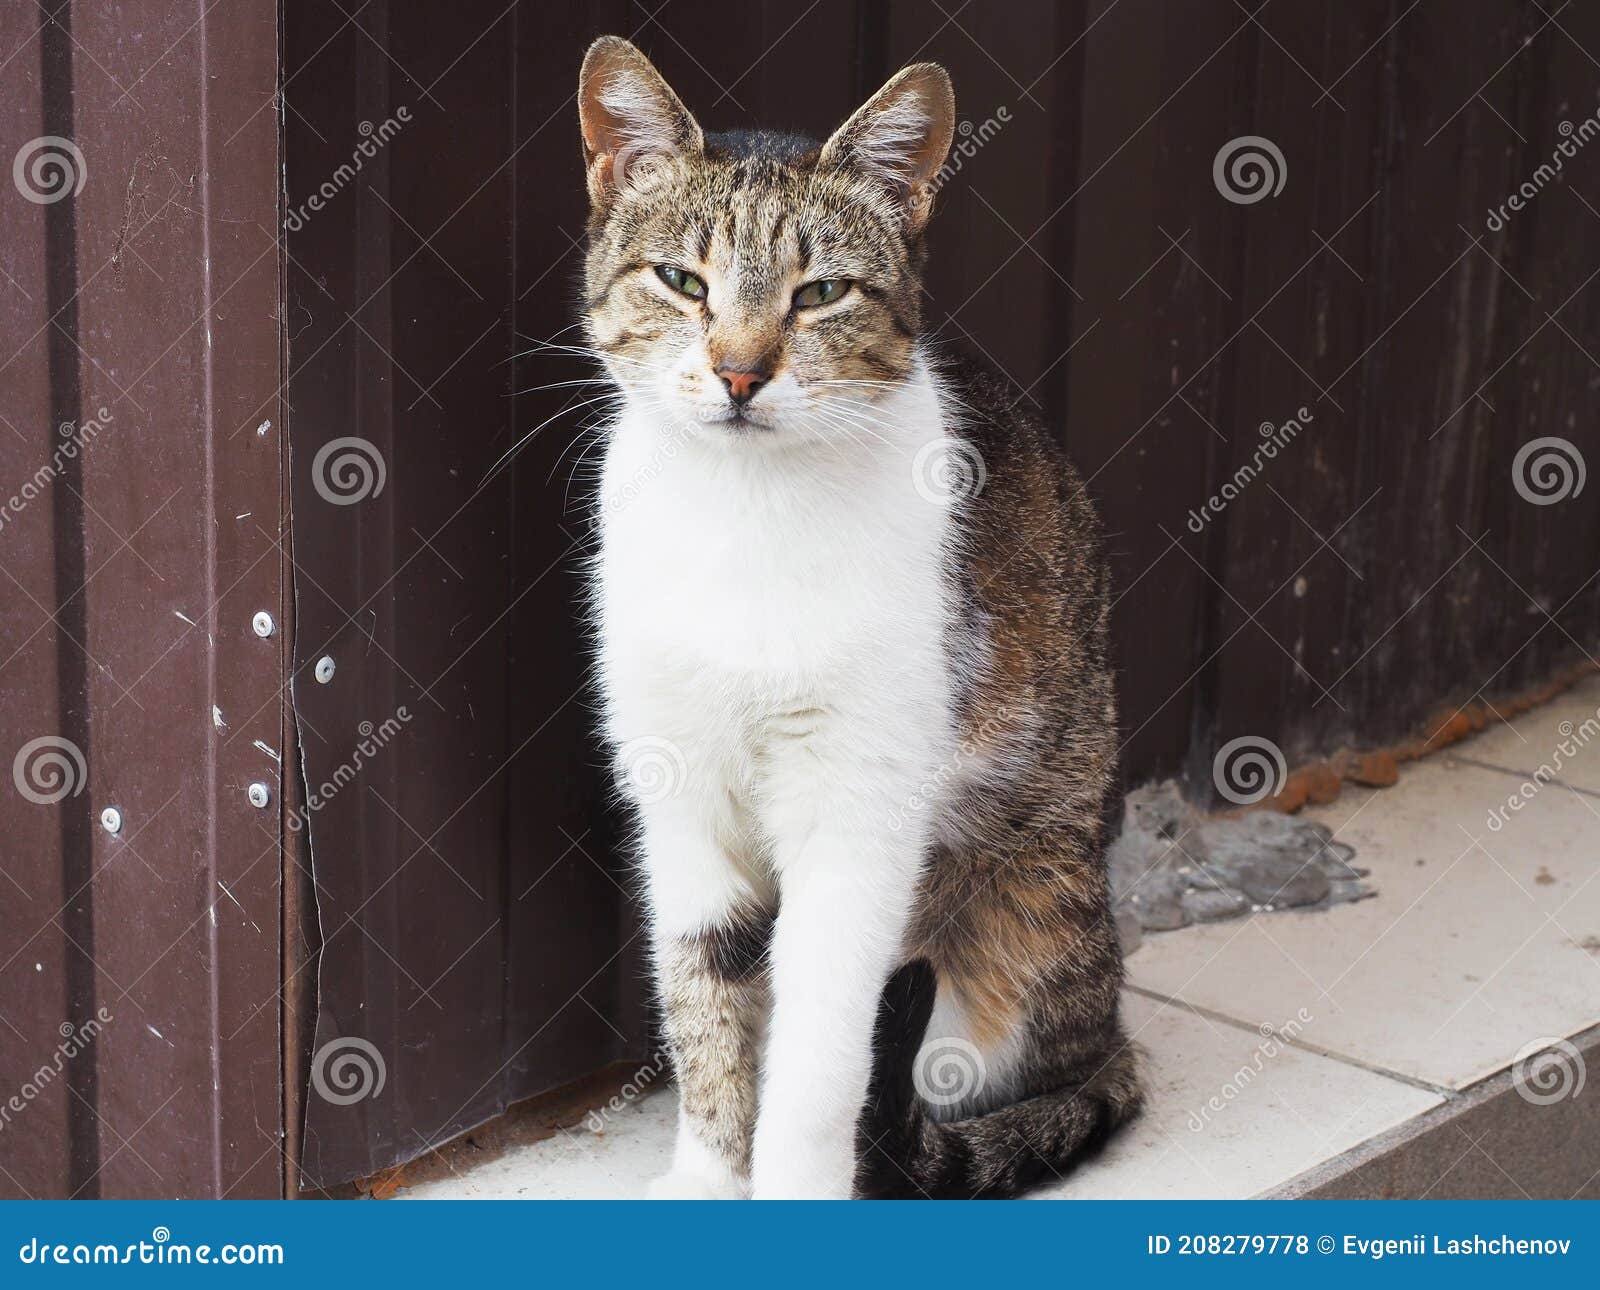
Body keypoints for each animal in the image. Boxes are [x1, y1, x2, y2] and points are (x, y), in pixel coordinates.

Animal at [576, 35, 1139, 1203]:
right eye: (682, 281)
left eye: (822, 293)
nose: (741, 372)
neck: (742, 514)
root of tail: (1116, 1032)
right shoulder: (677, 787)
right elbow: (705, 1007)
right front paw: (705, 1181)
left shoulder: (857, 805)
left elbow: (822, 1048)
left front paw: (794, 1187)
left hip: (1020, 923)